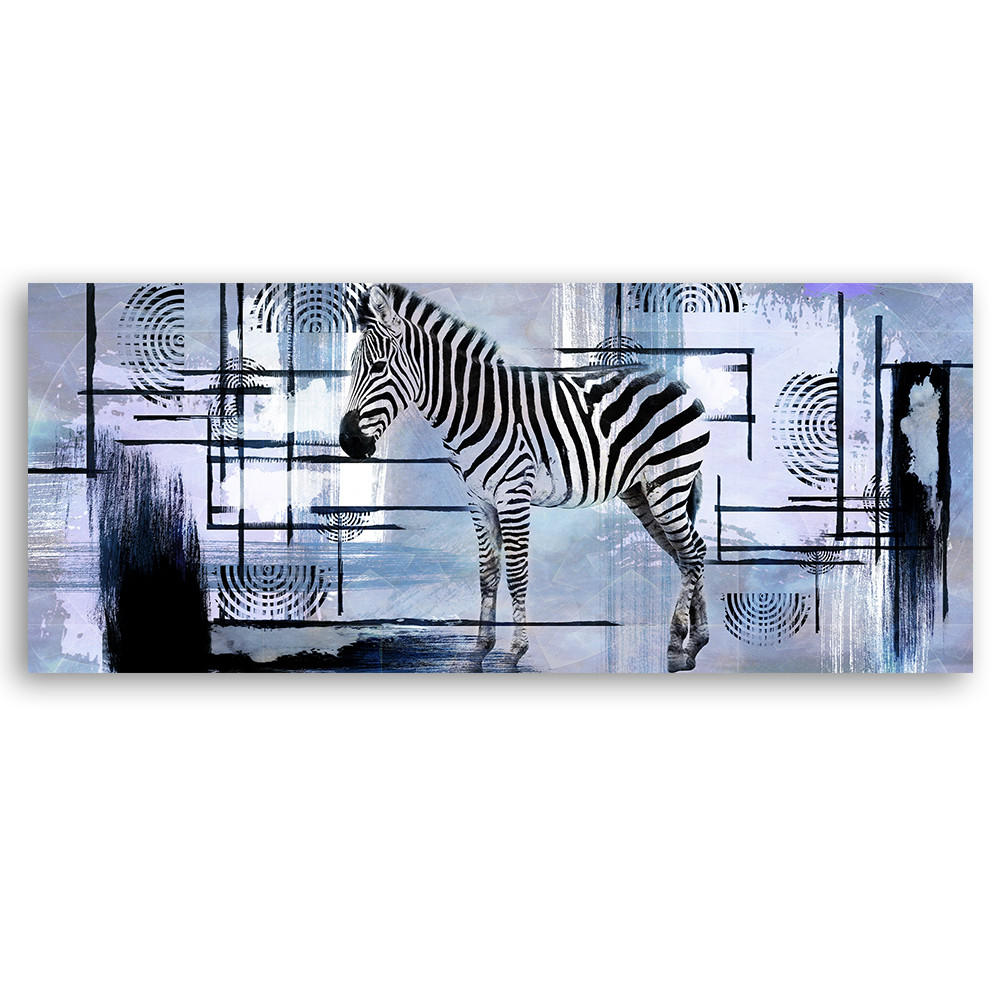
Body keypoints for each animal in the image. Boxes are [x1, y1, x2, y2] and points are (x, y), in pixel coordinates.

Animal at [339, 284, 711, 671]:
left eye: (378, 367)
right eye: (352, 367)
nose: (348, 442)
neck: (474, 410)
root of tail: (674, 380)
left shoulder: (513, 494)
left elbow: (517, 573)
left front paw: (515, 651)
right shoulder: (478, 500)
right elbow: (488, 573)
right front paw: (479, 650)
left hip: (668, 484)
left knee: (693, 552)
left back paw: (676, 646)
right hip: (641, 492)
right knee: (686, 554)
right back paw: (694, 643)